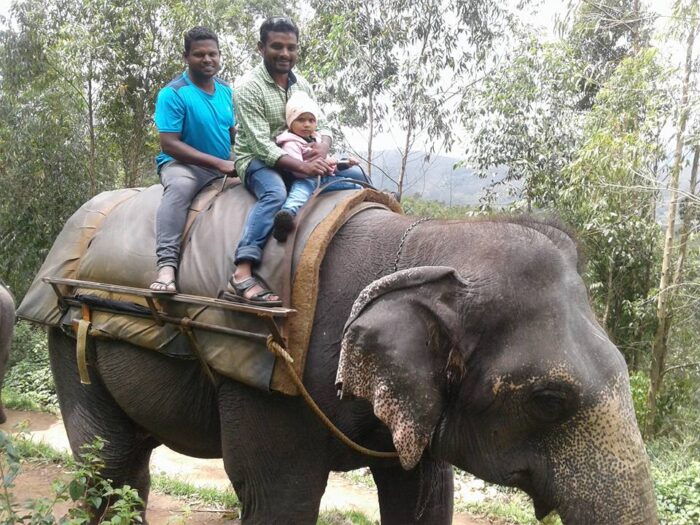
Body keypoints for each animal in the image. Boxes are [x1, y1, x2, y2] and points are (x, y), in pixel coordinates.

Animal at [45, 211, 657, 524]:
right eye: (548, 401)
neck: (423, 243)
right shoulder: (275, 387)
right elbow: (279, 496)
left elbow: (424, 498)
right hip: (67, 337)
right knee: (107, 461)